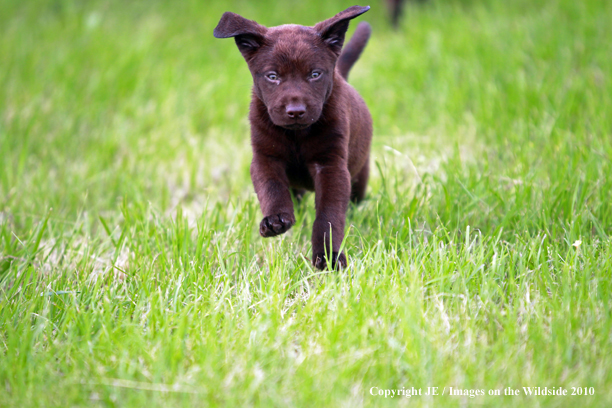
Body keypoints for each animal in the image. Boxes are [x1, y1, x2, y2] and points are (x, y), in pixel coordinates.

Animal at [216, 6, 372, 270]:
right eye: (272, 76)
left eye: (315, 74)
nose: (296, 111)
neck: (296, 136)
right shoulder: (264, 158)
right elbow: (272, 189)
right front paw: (276, 220)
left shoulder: (331, 165)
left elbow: (328, 215)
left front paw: (328, 256)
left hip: (360, 174)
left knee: (354, 201)